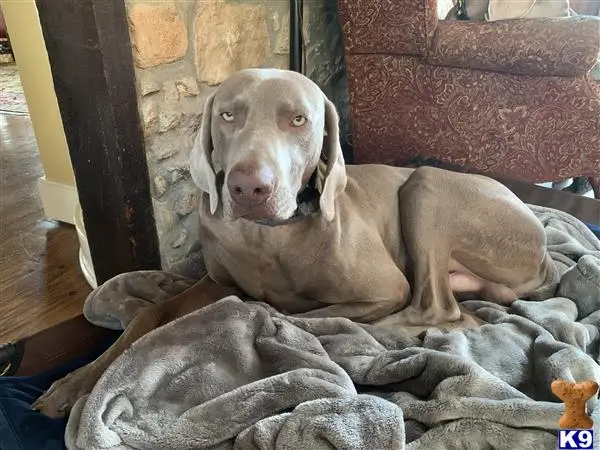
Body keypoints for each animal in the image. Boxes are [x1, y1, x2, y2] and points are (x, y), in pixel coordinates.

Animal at [31, 67, 556, 418]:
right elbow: (149, 317)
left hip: (427, 186)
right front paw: (75, 384)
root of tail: (546, 255)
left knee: (439, 309)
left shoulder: (384, 288)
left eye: (299, 120)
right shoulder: (214, 282)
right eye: (228, 115)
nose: (248, 188)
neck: (266, 238)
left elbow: (290, 310)